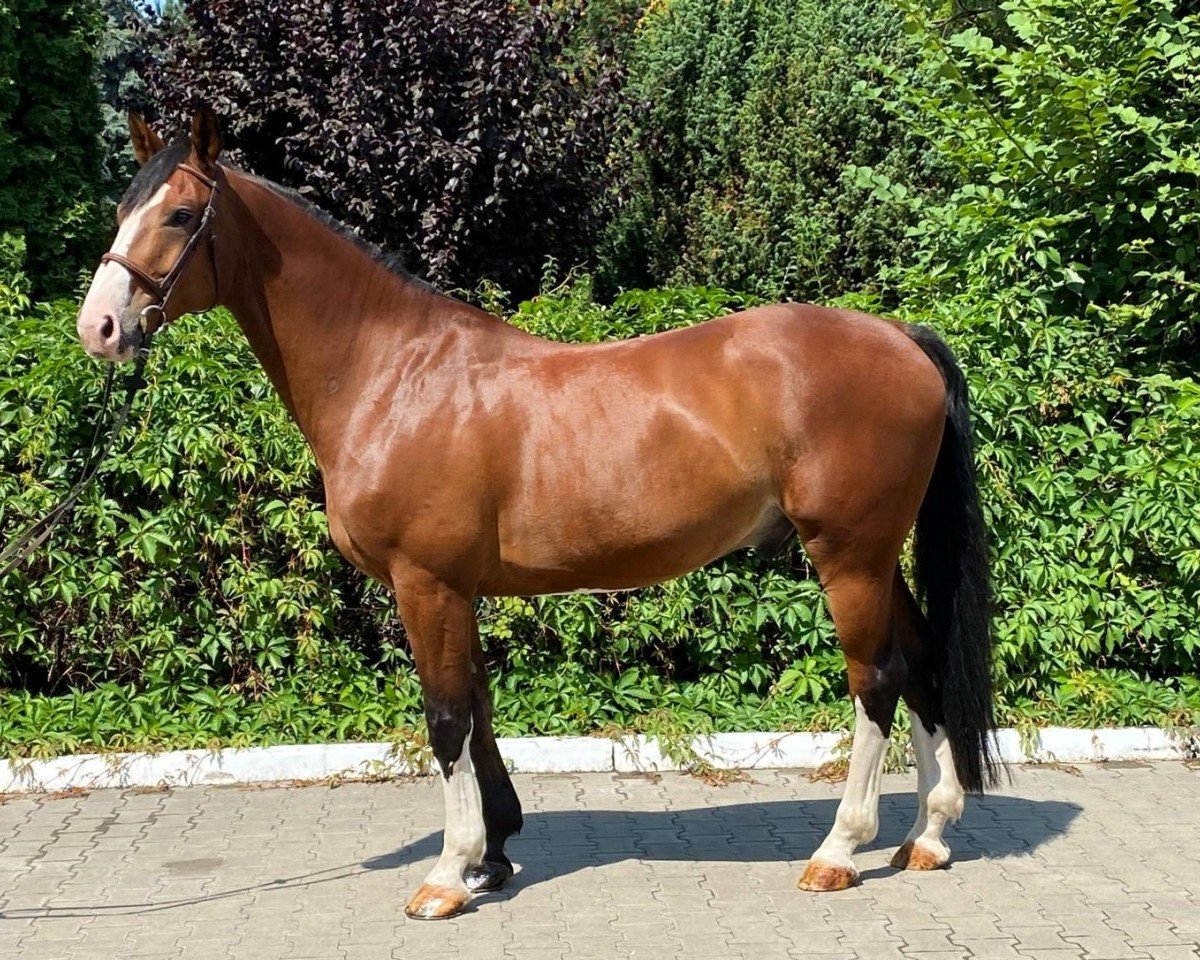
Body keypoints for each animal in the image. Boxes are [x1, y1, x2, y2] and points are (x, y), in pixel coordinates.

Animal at [76, 108, 997, 920]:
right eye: (122, 210)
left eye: (181, 213)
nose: (101, 328)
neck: (396, 374)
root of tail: (900, 338)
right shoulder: (457, 590)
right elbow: (479, 711)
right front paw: (491, 857)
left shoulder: (425, 584)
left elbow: (446, 719)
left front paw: (447, 877)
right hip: (876, 557)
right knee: (920, 666)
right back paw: (927, 835)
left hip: (848, 556)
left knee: (876, 681)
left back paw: (839, 850)